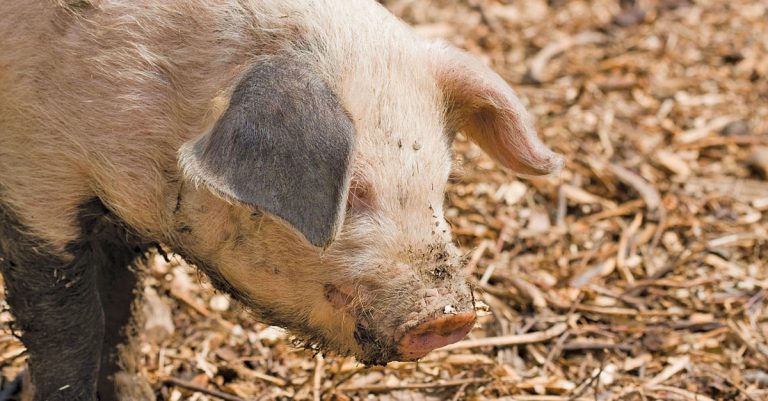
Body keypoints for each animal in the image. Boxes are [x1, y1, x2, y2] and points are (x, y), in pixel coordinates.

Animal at [0, 0, 564, 398]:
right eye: (352, 191)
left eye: (440, 184)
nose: (450, 317)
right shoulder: (36, 186)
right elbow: (74, 332)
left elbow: (123, 318)